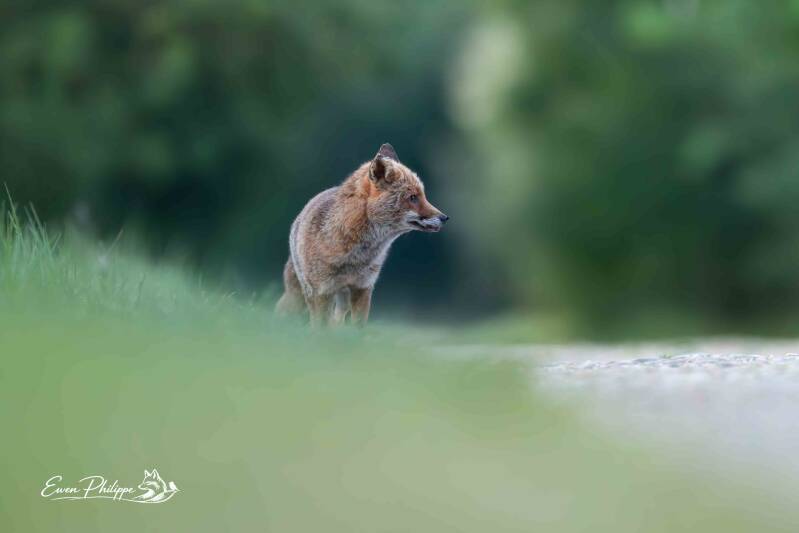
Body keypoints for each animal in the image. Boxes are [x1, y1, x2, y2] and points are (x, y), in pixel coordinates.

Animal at [276, 143, 448, 326]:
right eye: (413, 197)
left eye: (423, 196)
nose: (445, 218)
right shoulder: (322, 292)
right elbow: (319, 327)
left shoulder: (363, 288)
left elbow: (357, 328)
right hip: (300, 297)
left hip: (341, 301)